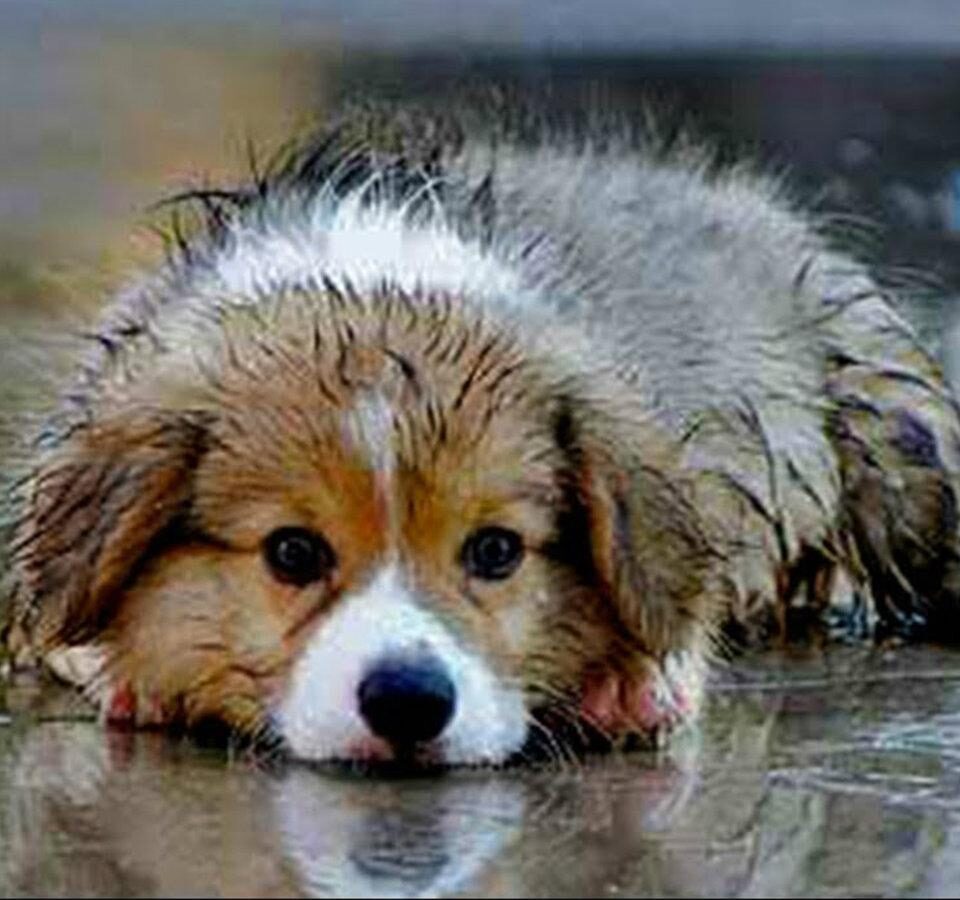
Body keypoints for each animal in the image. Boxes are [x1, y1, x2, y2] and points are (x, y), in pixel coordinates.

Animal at [5, 98, 960, 767]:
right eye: (292, 554)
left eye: (497, 552)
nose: (407, 701)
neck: (377, 279)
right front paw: (124, 665)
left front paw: (633, 678)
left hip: (903, 452)